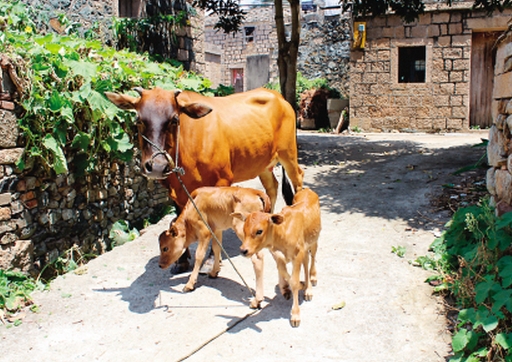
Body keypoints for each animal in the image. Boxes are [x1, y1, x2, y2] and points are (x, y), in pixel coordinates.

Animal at [105, 86, 302, 270]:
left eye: (174, 119)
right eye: (138, 120)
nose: (157, 166)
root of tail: (278, 95)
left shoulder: (222, 181)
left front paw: (211, 260)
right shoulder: (174, 190)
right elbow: (178, 219)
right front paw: (182, 259)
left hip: (288, 153)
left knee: (298, 179)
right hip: (263, 163)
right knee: (272, 187)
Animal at [232, 188, 320, 326]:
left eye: (259, 231)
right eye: (244, 230)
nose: (243, 250)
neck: (282, 232)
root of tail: (306, 189)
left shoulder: (297, 254)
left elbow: (294, 281)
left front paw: (295, 314)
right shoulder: (280, 256)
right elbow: (284, 273)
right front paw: (296, 286)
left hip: (314, 240)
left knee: (312, 257)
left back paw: (312, 280)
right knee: (306, 262)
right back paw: (307, 287)